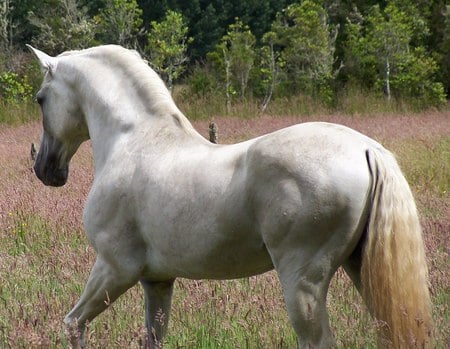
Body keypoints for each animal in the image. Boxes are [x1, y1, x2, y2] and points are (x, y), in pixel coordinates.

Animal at [27, 44, 432, 346]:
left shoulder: (114, 268)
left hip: (303, 284)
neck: (136, 139)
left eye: (41, 98)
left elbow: (73, 324)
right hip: (361, 270)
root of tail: (366, 149)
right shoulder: (157, 280)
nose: (46, 170)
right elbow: (152, 338)